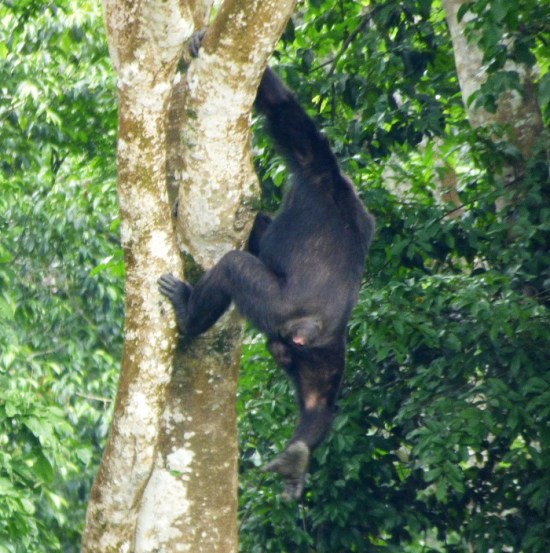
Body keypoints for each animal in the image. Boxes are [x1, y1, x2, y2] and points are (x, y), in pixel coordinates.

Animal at [160, 66, 376, 500]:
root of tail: (311, 329)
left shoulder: (312, 157)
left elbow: (281, 107)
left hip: (276, 305)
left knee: (232, 266)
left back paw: (188, 314)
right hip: (327, 353)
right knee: (318, 400)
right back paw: (297, 458)